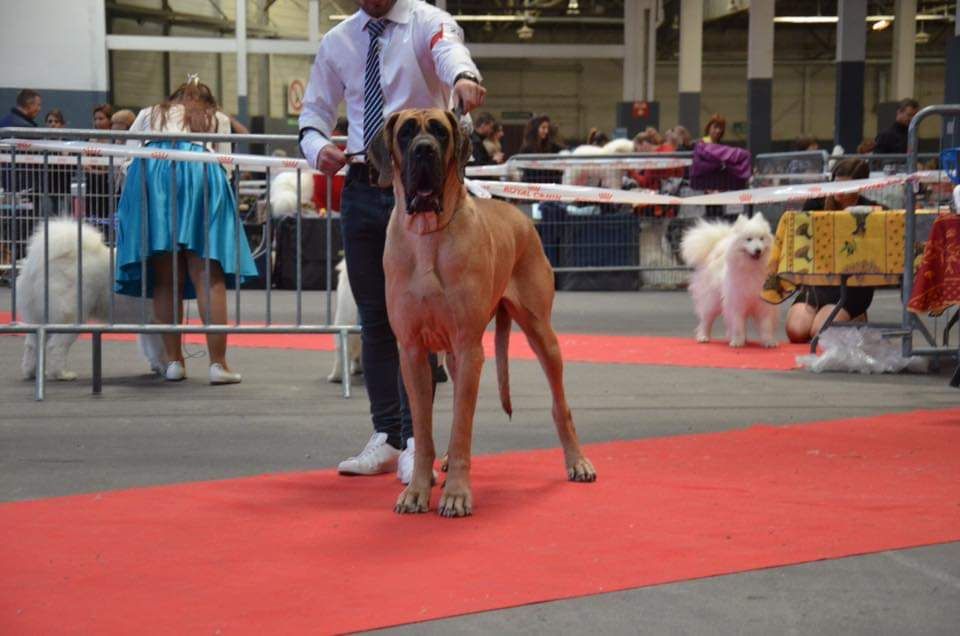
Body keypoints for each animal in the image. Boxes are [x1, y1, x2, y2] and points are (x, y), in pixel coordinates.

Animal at [16, 220, 165, 378]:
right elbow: (161, 347)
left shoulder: (149, 322)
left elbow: (152, 347)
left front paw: (159, 367)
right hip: (72, 317)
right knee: (55, 346)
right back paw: (62, 374)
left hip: (38, 318)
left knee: (32, 344)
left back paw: (32, 373)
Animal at [684, 216, 780, 350]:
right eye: (749, 239)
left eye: (761, 239)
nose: (758, 250)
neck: (752, 269)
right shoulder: (736, 303)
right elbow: (737, 324)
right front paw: (737, 342)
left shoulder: (764, 304)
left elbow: (766, 325)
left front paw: (769, 342)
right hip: (712, 301)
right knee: (706, 320)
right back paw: (703, 337)